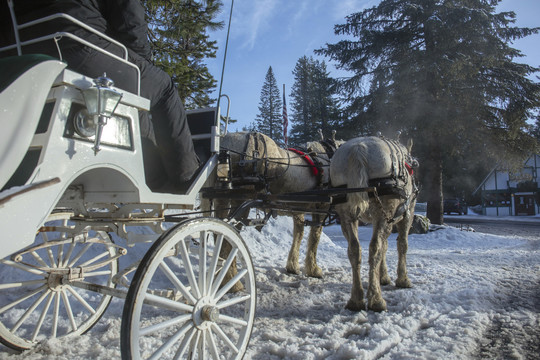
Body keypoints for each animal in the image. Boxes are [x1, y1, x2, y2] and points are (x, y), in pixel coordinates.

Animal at [330, 136, 418, 310]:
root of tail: (358, 149)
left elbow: (385, 246)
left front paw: (383, 276)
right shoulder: (407, 214)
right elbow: (401, 245)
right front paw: (402, 279)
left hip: (346, 213)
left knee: (354, 249)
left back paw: (356, 299)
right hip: (384, 212)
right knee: (375, 248)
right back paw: (376, 299)